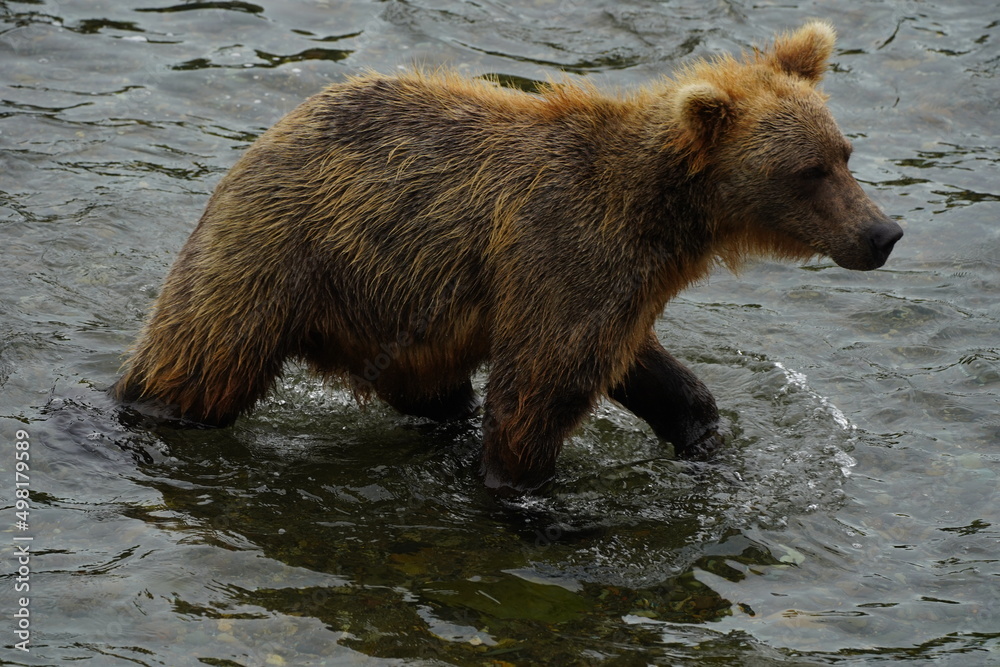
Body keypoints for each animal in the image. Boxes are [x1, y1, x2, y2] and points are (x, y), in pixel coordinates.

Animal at [114, 21, 902, 496]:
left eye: (844, 152)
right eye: (807, 171)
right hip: (280, 255)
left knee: (431, 393)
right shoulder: (565, 246)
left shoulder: (610, 283)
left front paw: (702, 432)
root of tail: (269, 133)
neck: (665, 216)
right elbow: (541, 391)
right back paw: (139, 414)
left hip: (397, 317)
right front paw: (535, 502)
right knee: (200, 361)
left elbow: (637, 366)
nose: (884, 232)